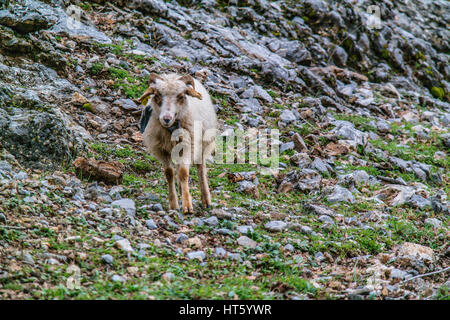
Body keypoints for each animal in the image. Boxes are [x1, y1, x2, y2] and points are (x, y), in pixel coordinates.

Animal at [137, 72, 218, 212]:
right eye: (157, 95)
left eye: (181, 96)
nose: (166, 119)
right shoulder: (161, 150)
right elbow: (169, 173)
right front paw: (174, 204)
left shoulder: (187, 146)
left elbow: (184, 172)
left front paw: (187, 205)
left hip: (202, 143)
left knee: (201, 169)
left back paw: (206, 200)